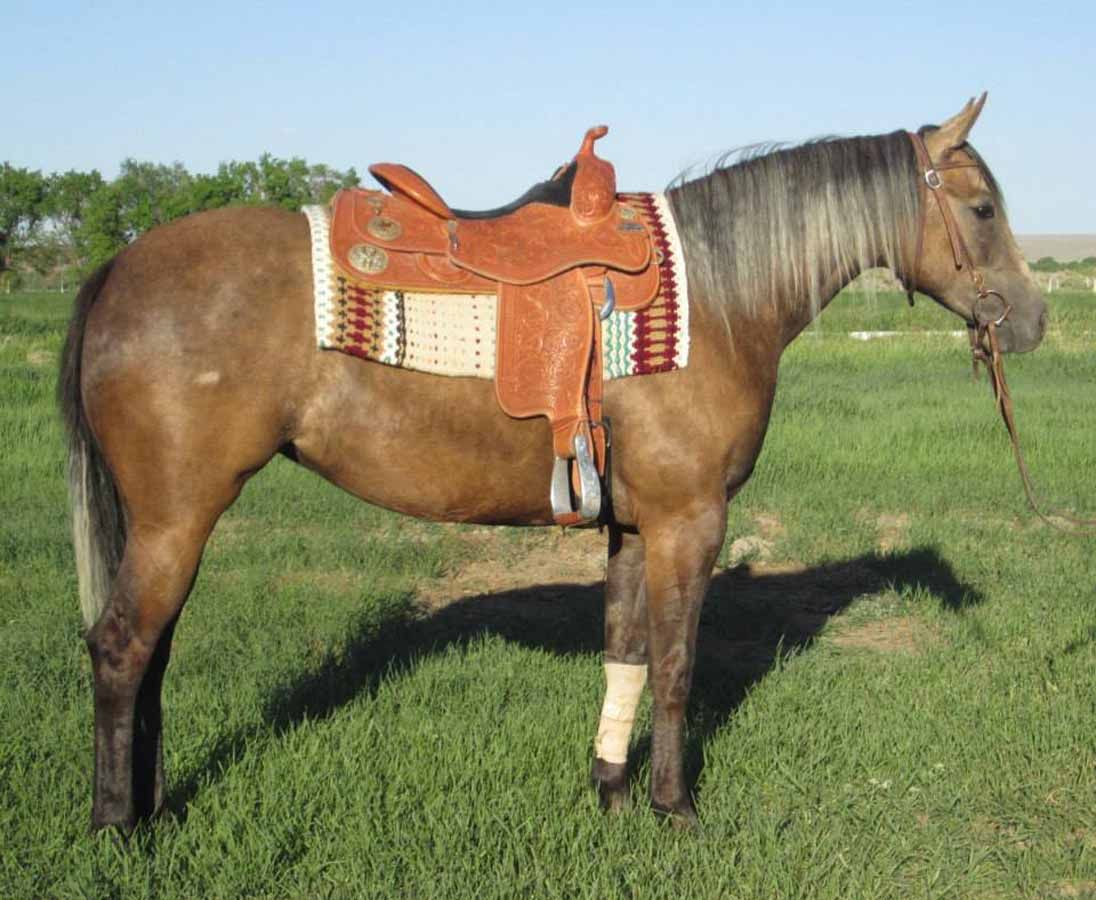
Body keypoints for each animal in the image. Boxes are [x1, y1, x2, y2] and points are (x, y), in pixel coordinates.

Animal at [60, 95, 1047, 833]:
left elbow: (627, 655)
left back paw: (151, 806)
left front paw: (612, 793)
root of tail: (119, 267)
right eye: (983, 210)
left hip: (165, 523)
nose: (1032, 321)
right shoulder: (690, 522)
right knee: (120, 648)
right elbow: (678, 666)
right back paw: (116, 826)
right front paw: (676, 809)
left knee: (151, 652)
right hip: (177, 517)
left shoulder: (633, 526)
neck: (721, 298)